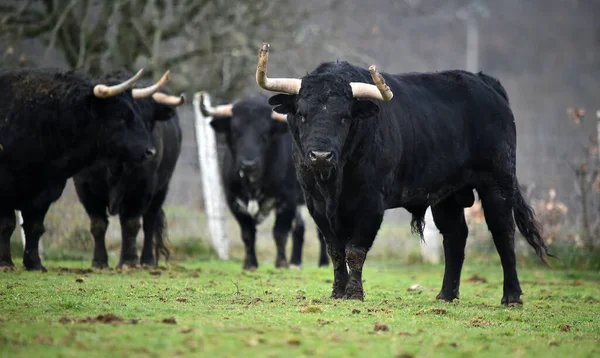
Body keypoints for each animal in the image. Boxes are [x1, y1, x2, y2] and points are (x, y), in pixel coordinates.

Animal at [0, 67, 170, 270]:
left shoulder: (48, 189)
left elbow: (35, 226)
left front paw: (34, 263)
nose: (150, 151)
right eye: (121, 116)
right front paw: (6, 262)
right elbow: (7, 224)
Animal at [72, 72, 183, 268]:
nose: (150, 151)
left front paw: (129, 261)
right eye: (125, 117)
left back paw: (147, 260)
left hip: (161, 189)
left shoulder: (142, 188)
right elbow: (98, 224)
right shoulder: (85, 187)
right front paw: (99, 262)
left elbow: (131, 223)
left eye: (150, 119)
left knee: (148, 222)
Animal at [199, 91, 326, 268]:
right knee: (299, 228)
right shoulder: (234, 202)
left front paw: (281, 263)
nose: (248, 165)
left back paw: (323, 263)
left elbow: (280, 233)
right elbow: (247, 234)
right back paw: (296, 262)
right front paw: (250, 264)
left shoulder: (287, 201)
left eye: (264, 135)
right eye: (235, 133)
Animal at [255, 42, 552, 304]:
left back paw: (512, 296)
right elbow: (335, 251)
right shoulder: (315, 204)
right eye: (302, 114)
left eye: (344, 116)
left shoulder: (371, 204)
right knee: (455, 235)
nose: (320, 156)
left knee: (503, 232)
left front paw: (354, 294)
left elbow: (355, 251)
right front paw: (337, 292)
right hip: (448, 194)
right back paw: (446, 295)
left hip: (497, 182)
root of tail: (484, 83)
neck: (333, 186)